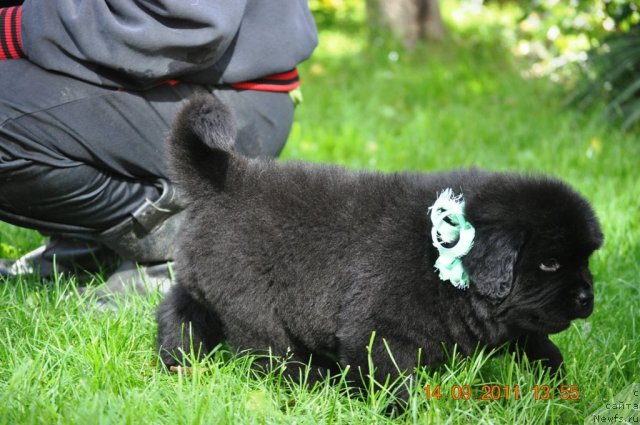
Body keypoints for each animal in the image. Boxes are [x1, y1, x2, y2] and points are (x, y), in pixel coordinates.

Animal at [156, 94, 604, 396]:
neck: (442, 260)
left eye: (584, 260)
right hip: (252, 305)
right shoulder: (376, 330)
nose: (587, 298)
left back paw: (176, 362)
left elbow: (538, 343)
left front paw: (561, 386)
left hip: (203, 283)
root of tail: (222, 184)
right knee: (271, 353)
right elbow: (390, 377)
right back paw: (314, 384)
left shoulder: (511, 320)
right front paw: (400, 409)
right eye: (549, 264)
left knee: (177, 311)